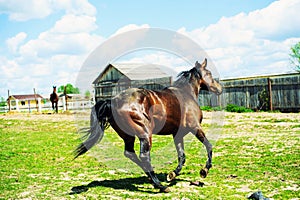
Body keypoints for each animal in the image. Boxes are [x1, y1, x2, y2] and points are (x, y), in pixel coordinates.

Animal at [75, 59, 223, 192]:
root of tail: (112, 102)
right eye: (209, 73)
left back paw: (151, 179)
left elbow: (182, 156)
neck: (186, 94)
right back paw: (160, 185)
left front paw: (171, 175)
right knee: (144, 156)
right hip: (145, 134)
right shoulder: (195, 127)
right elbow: (209, 146)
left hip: (128, 136)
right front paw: (204, 171)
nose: (220, 89)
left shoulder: (177, 134)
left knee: (130, 153)